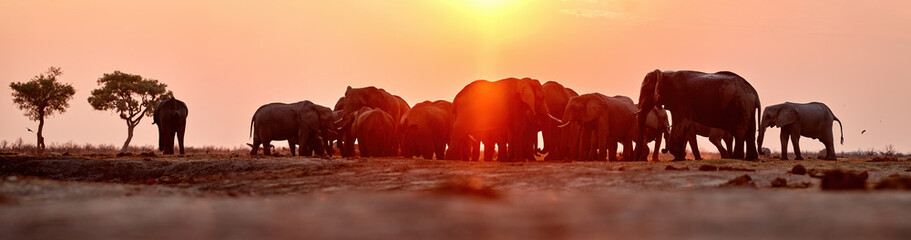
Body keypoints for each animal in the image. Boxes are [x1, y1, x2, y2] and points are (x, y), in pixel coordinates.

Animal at [636, 69, 764, 161]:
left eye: (645, 90)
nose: (663, 150)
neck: (665, 73)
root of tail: (755, 93)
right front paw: (680, 157)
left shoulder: (681, 97)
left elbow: (683, 123)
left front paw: (679, 157)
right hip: (748, 107)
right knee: (751, 131)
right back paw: (751, 159)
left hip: (741, 104)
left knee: (740, 130)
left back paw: (737, 157)